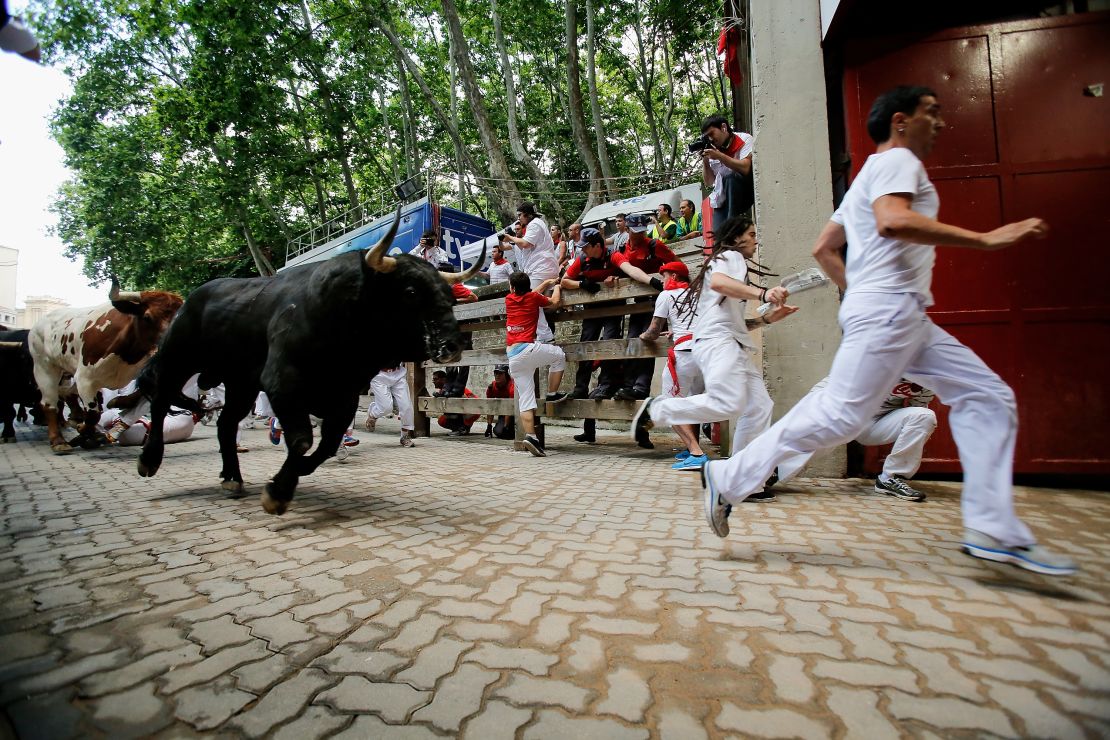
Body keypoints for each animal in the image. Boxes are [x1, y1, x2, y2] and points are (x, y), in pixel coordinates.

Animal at [28, 281, 183, 452]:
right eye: (147, 317)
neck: (127, 352)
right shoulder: (84, 379)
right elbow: (94, 414)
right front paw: (83, 430)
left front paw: (119, 402)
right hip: (44, 367)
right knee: (50, 405)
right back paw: (58, 440)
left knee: (67, 395)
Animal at [134, 208, 481, 514]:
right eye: (410, 291)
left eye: (449, 296)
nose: (453, 344)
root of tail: (193, 296)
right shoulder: (282, 383)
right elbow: (302, 439)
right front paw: (278, 493)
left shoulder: (344, 395)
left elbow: (325, 445)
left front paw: (284, 482)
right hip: (178, 358)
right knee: (162, 400)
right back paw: (149, 460)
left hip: (241, 383)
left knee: (226, 423)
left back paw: (232, 478)